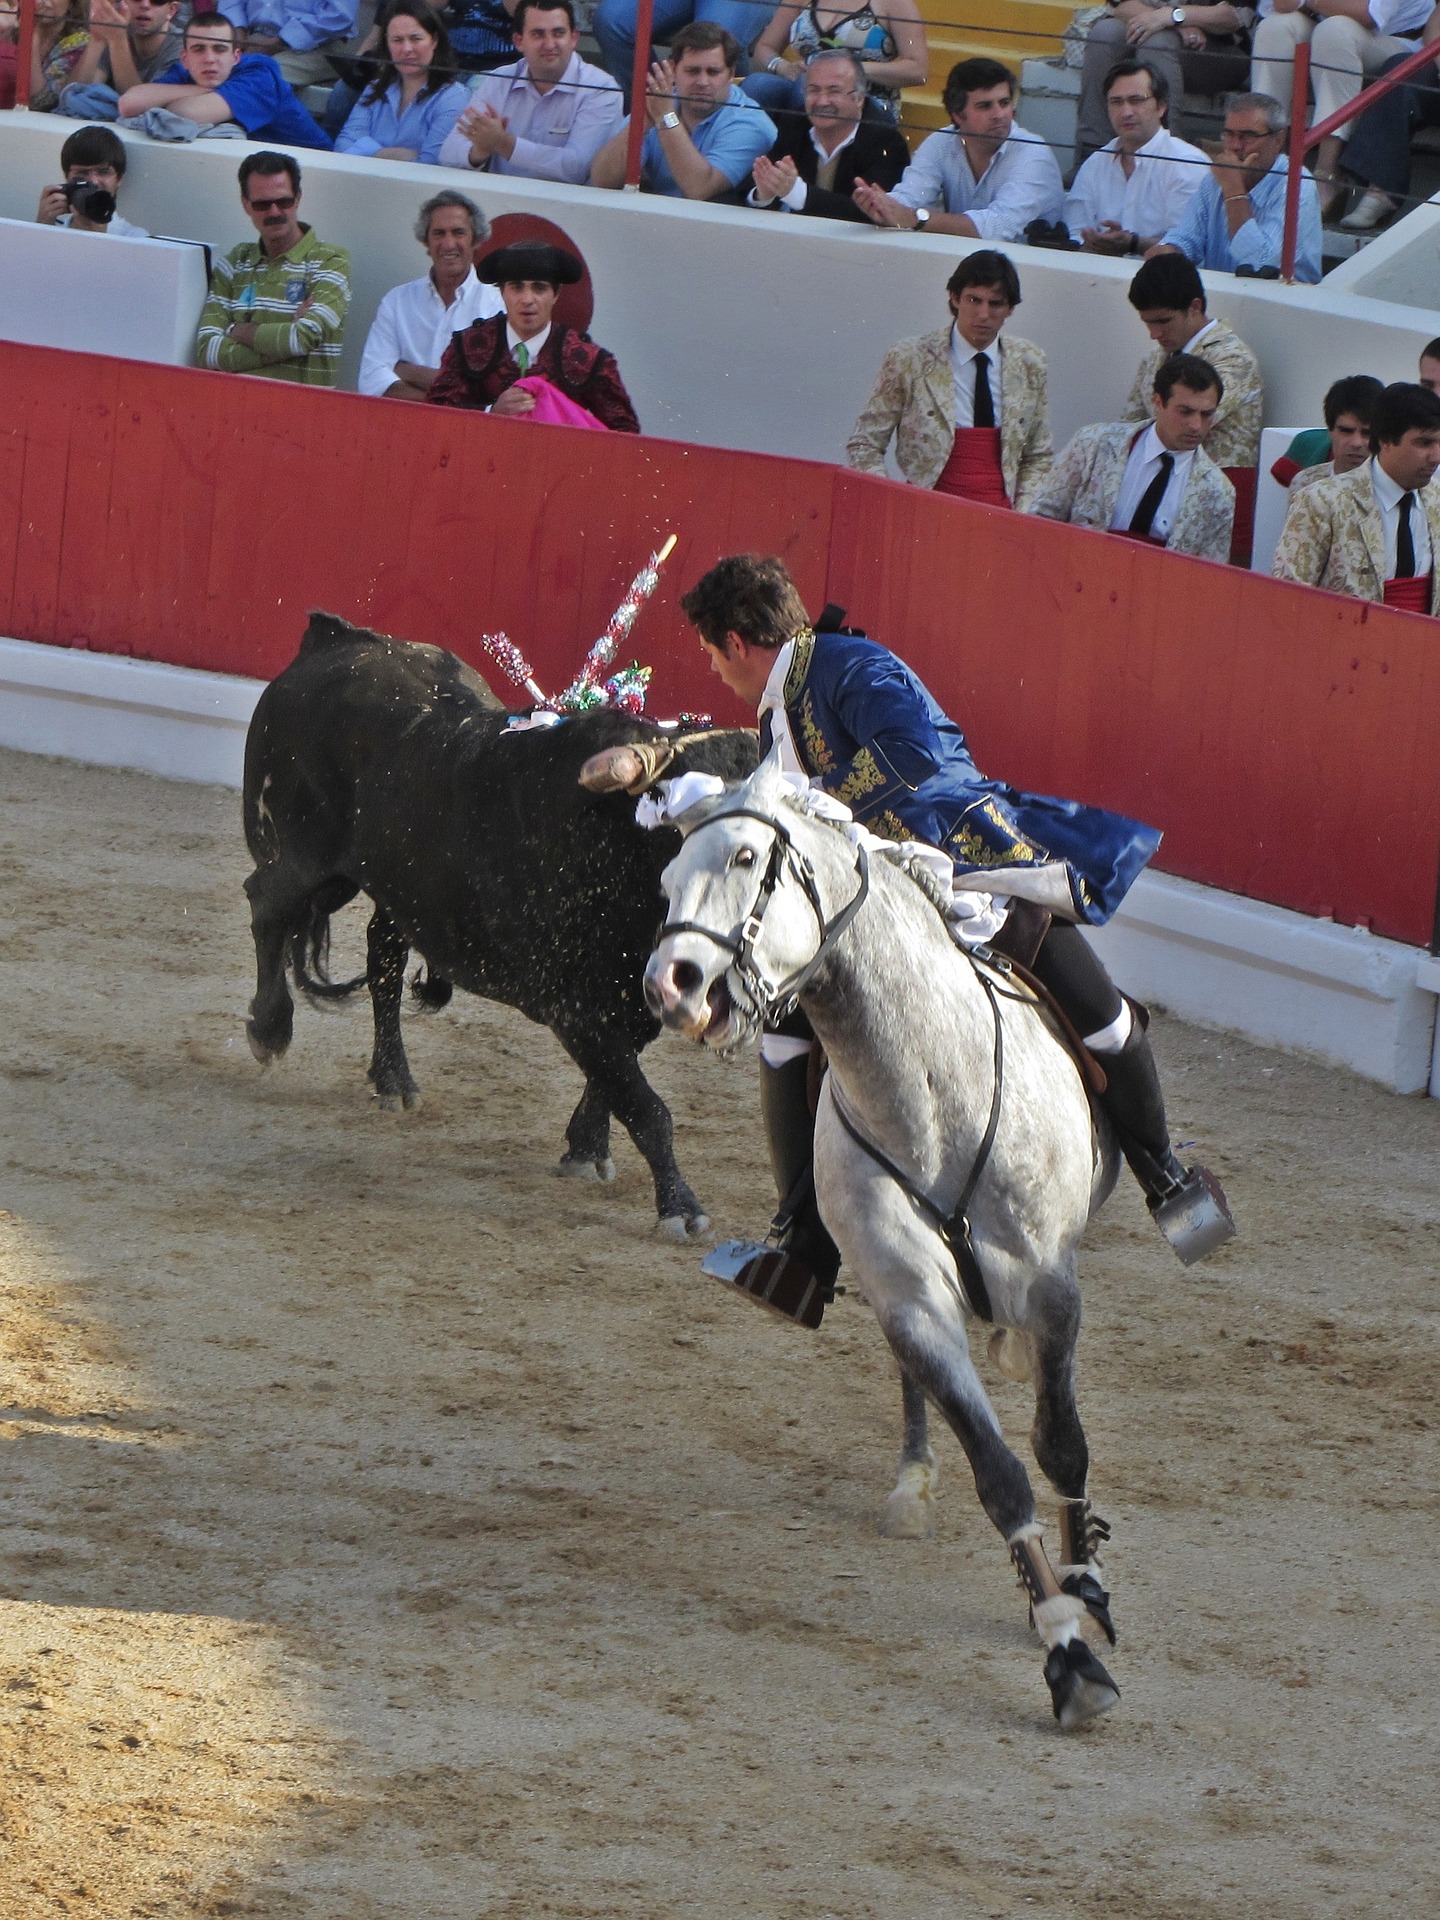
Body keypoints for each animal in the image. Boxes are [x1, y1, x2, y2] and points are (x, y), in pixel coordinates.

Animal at [242, 618, 760, 1228]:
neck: (620, 843)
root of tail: (334, 639)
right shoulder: (576, 1005)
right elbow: (645, 1106)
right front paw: (680, 1206)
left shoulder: (629, 1005)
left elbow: (613, 1081)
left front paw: (586, 1148)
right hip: (304, 860)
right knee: (267, 906)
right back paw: (269, 1030)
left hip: (403, 890)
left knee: (383, 960)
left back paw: (393, 1078)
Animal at [648, 756, 1136, 1735]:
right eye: (668, 876)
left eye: (749, 855)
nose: (669, 983)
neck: (931, 1087)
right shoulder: (908, 1295)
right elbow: (1000, 1473)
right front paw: (1066, 1653)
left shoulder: (1052, 1288)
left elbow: (1060, 1444)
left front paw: (1084, 1584)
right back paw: (914, 1480)